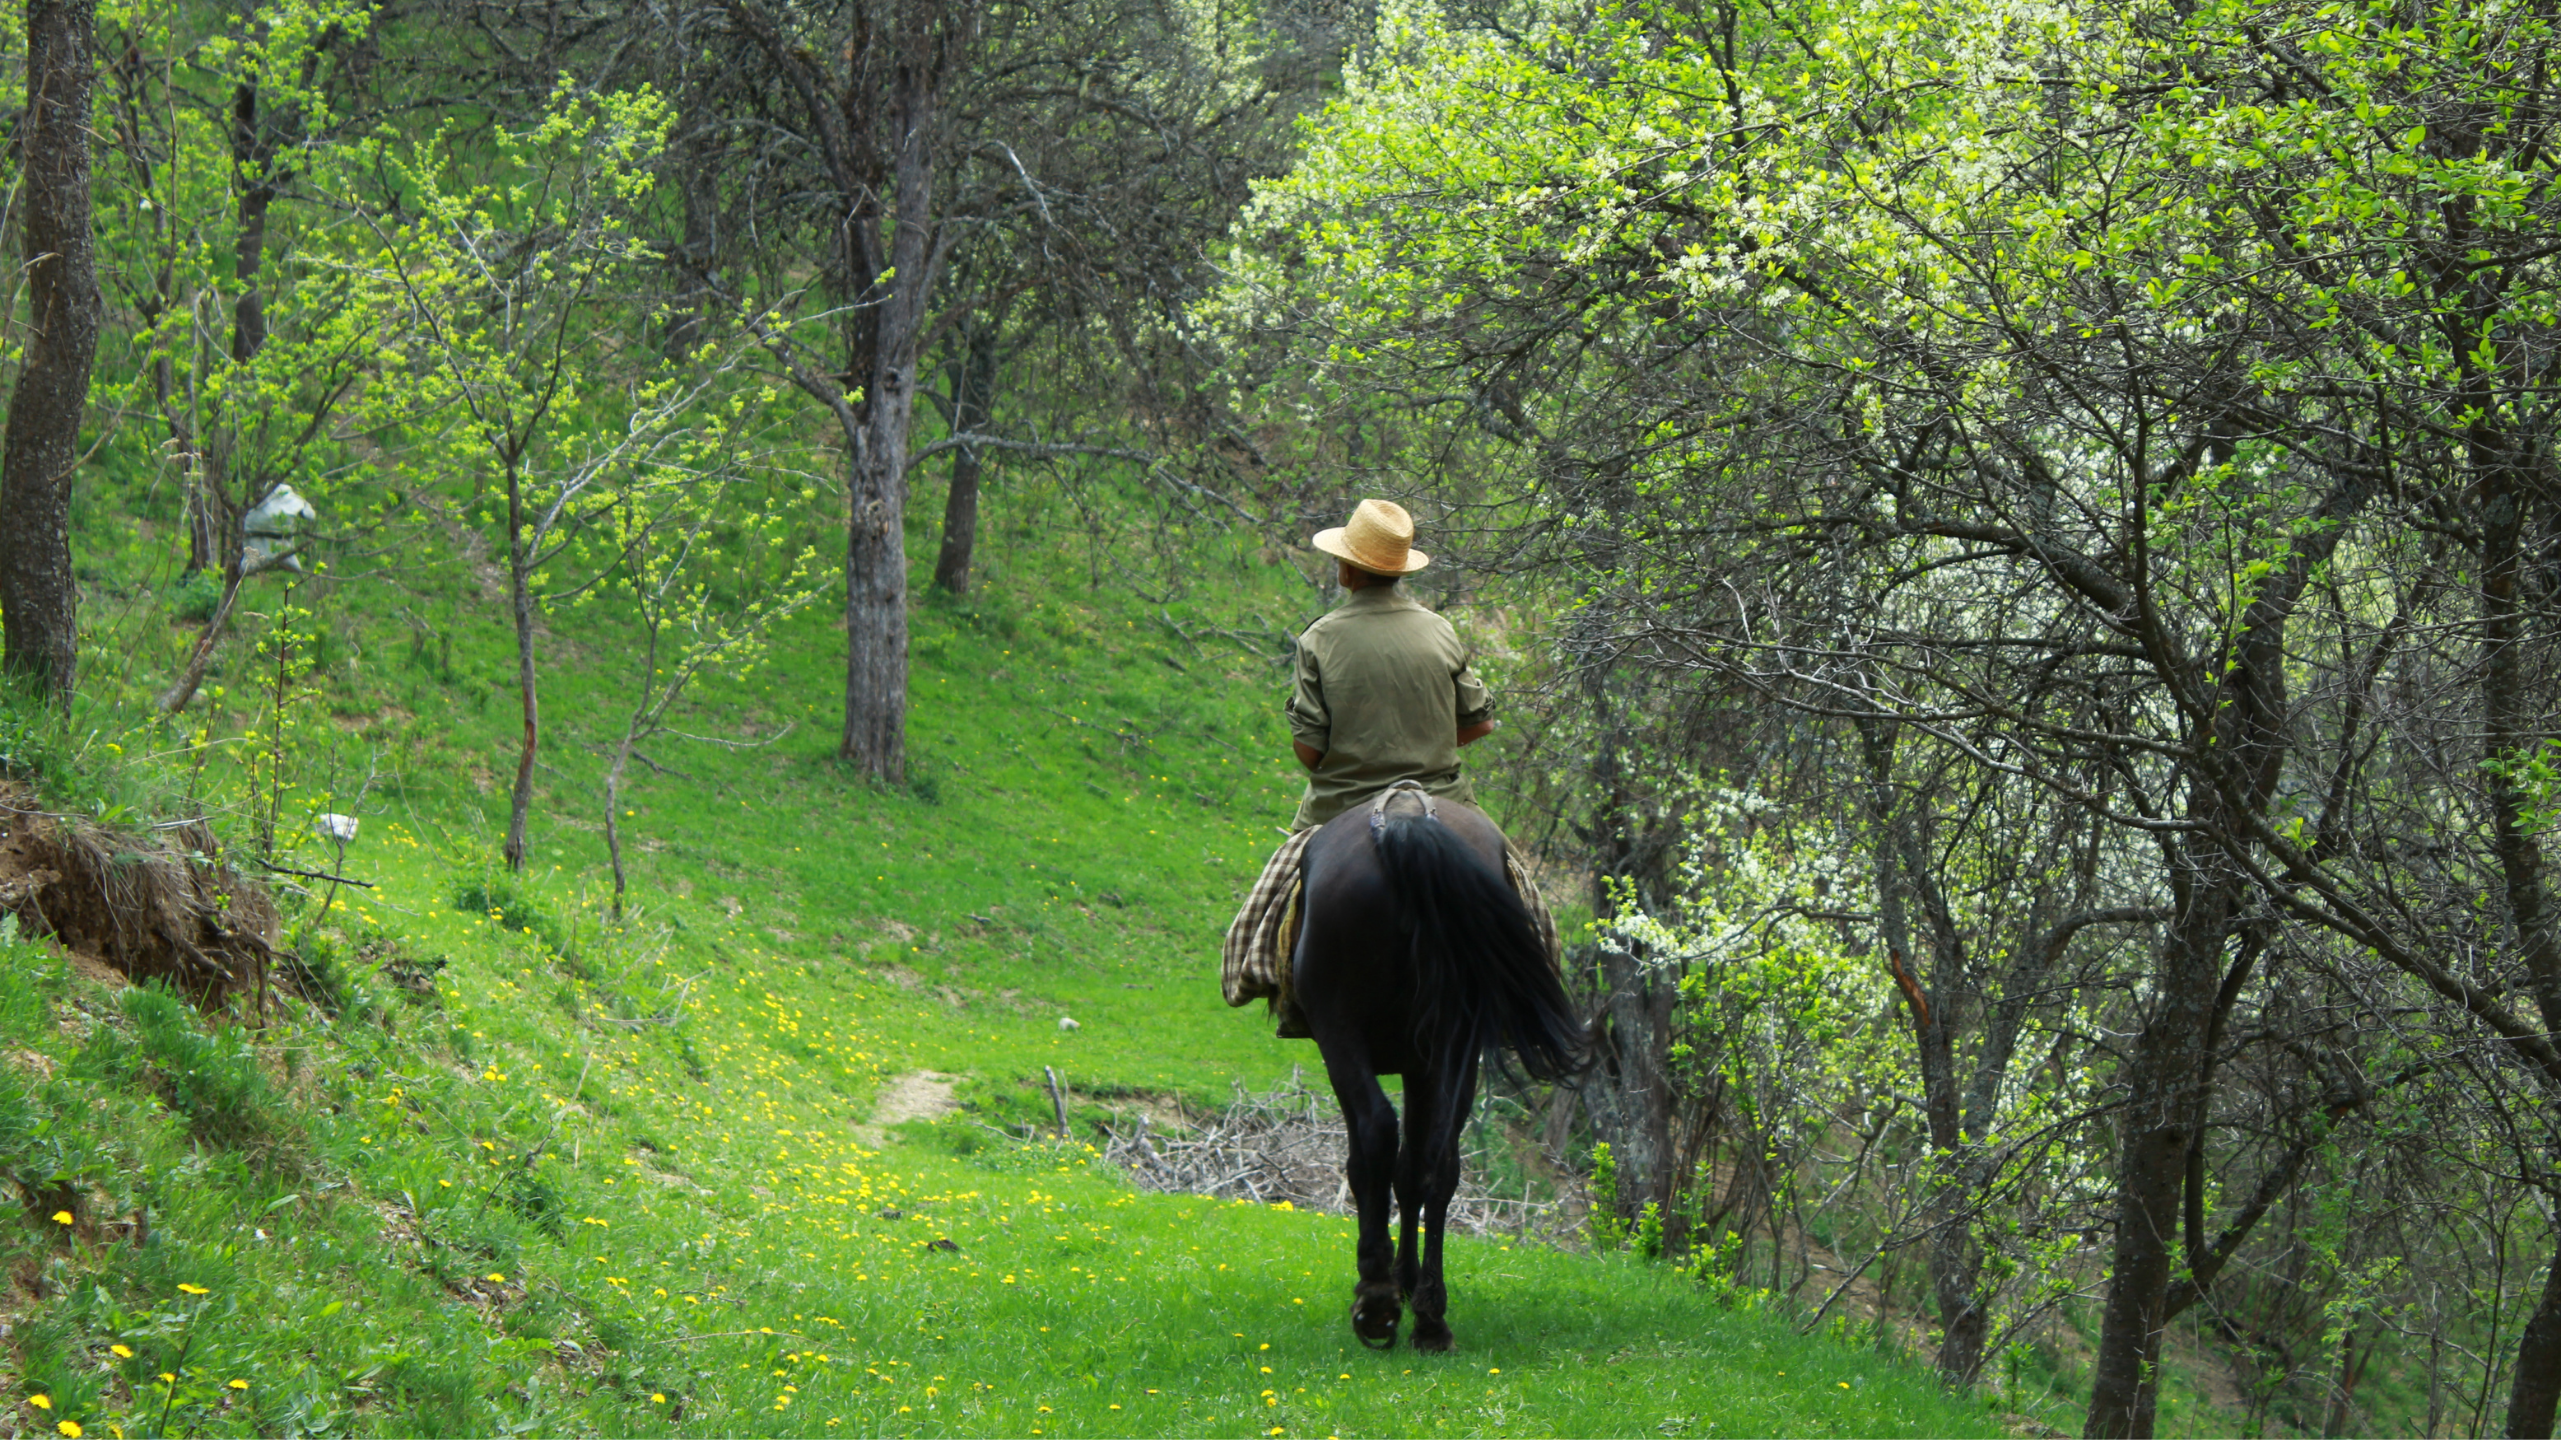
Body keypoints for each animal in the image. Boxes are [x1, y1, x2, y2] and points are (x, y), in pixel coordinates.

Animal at [1291, 783, 1588, 1352]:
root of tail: (1405, 820)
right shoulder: (1423, 1061)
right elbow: (1414, 1171)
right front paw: (1409, 1284)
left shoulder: (1349, 1050)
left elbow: (1370, 1163)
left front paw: (1387, 1281)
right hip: (1455, 1041)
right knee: (1439, 1158)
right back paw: (1430, 1317)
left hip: (1340, 1030)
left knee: (1378, 1134)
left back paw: (1377, 1303)